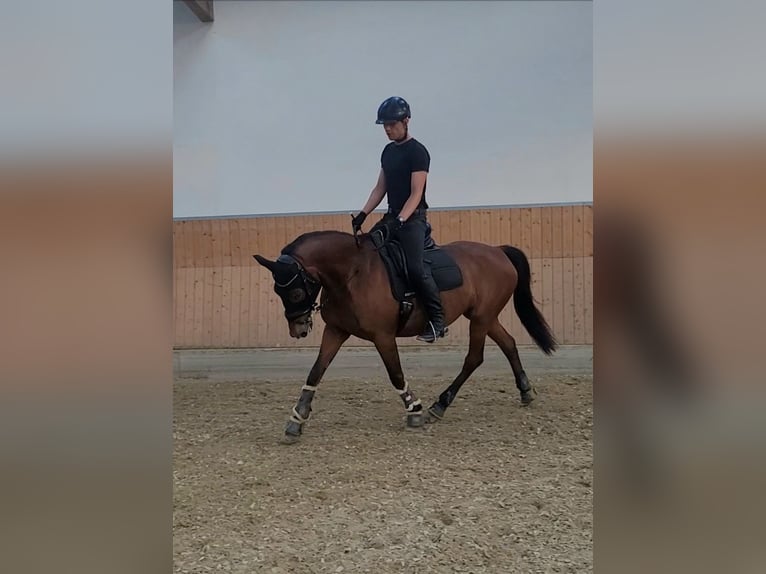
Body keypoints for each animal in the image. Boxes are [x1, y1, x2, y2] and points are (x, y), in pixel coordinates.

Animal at [254, 222, 557, 443]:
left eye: (295, 292)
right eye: (277, 292)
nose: (298, 329)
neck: (352, 274)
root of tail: (498, 251)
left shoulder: (383, 336)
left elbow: (395, 373)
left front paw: (415, 410)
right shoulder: (336, 330)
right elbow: (316, 371)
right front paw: (296, 421)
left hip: (481, 319)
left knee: (474, 358)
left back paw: (440, 404)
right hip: (484, 316)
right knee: (508, 343)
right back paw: (525, 390)